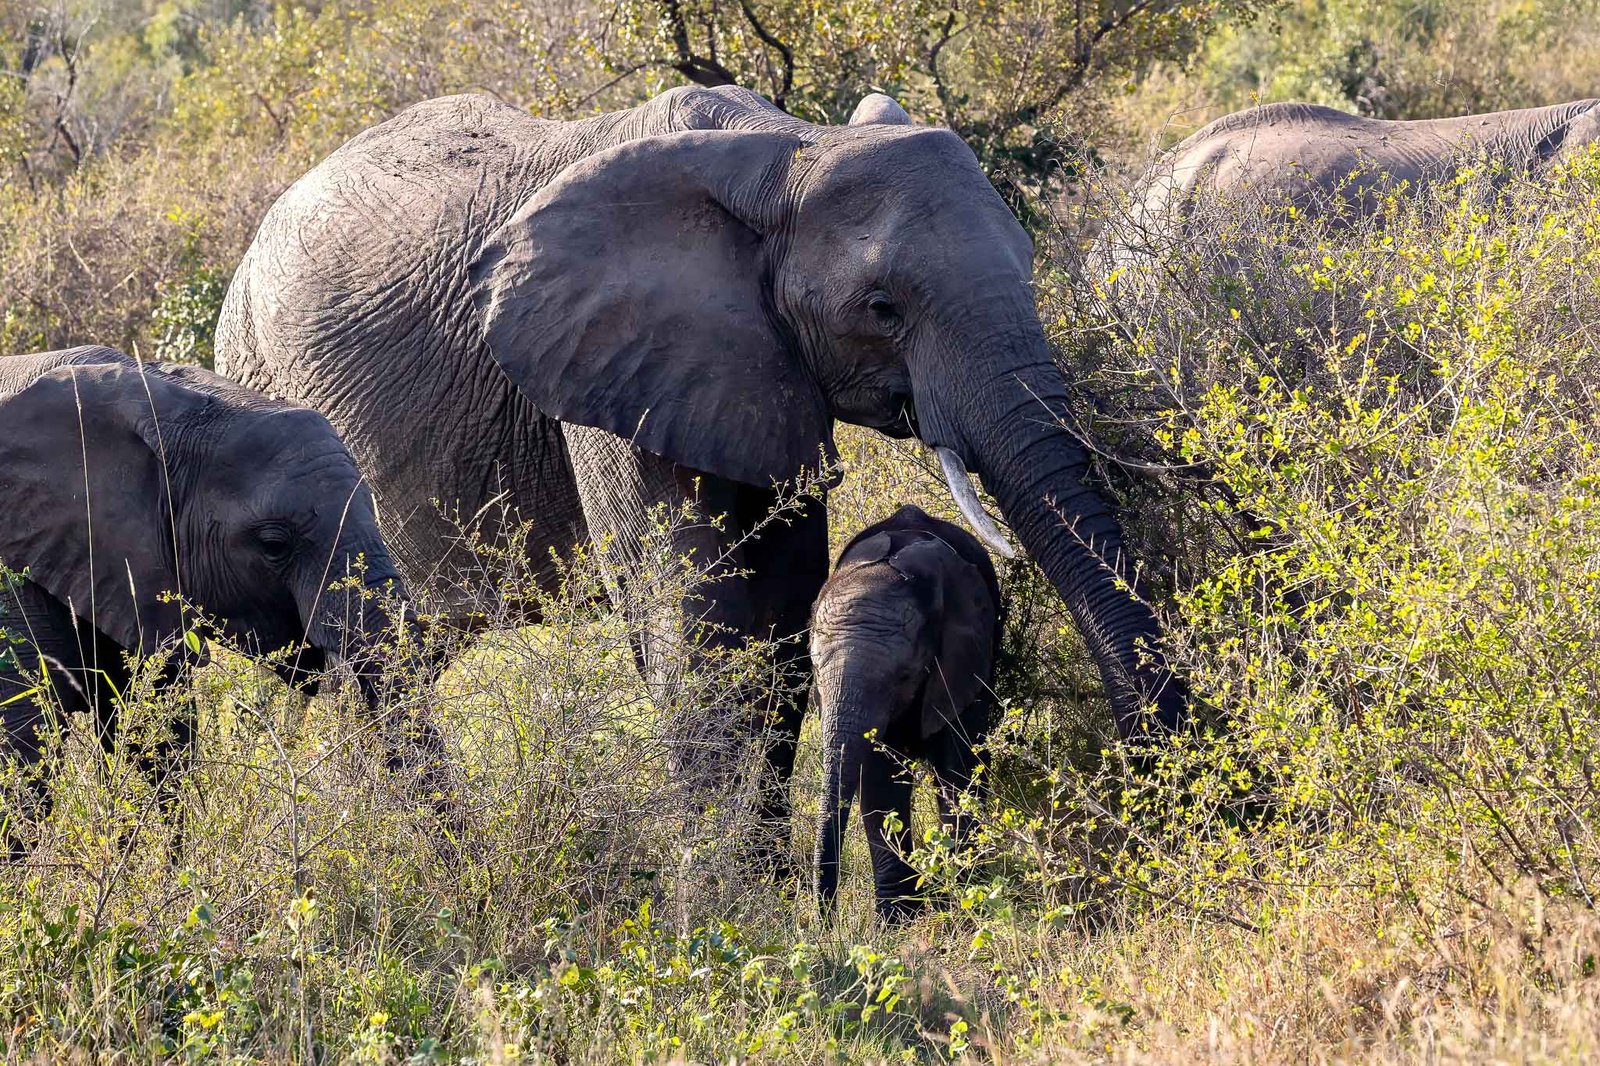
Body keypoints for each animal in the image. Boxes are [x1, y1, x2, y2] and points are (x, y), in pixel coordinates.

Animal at [215, 85, 1187, 842]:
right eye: (882, 309)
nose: (1153, 775)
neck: (786, 149)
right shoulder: (606, 371)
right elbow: (693, 618)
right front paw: (738, 911)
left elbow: (781, 621)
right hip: (268, 383)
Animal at [811, 505, 1001, 921]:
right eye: (814, 671)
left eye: (903, 676)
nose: (823, 922)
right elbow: (878, 782)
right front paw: (898, 923)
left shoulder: (963, 658)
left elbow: (957, 772)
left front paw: (965, 907)